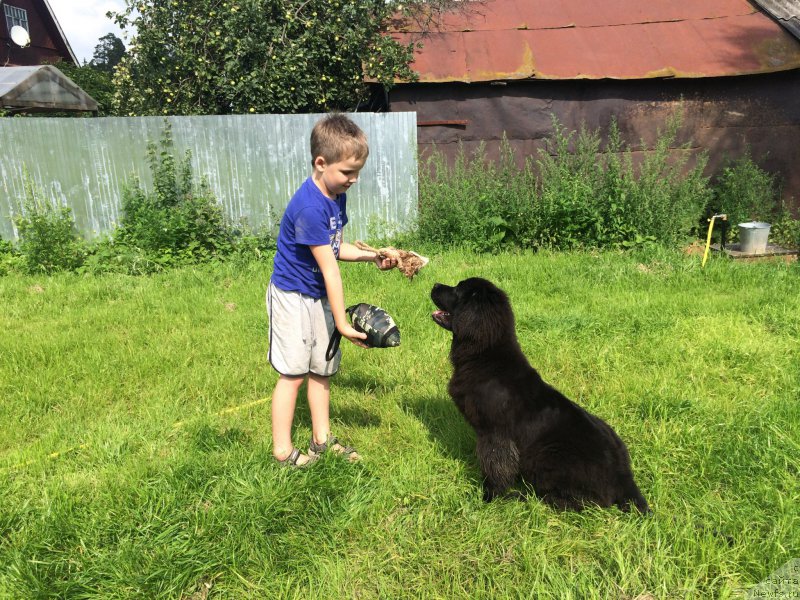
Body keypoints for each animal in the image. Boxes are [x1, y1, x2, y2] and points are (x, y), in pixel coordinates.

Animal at [432, 278, 648, 510]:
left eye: (458, 289)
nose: (434, 284)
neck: (485, 357)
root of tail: (623, 477)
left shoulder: (495, 435)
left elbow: (495, 468)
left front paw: (490, 497)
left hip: (547, 454)